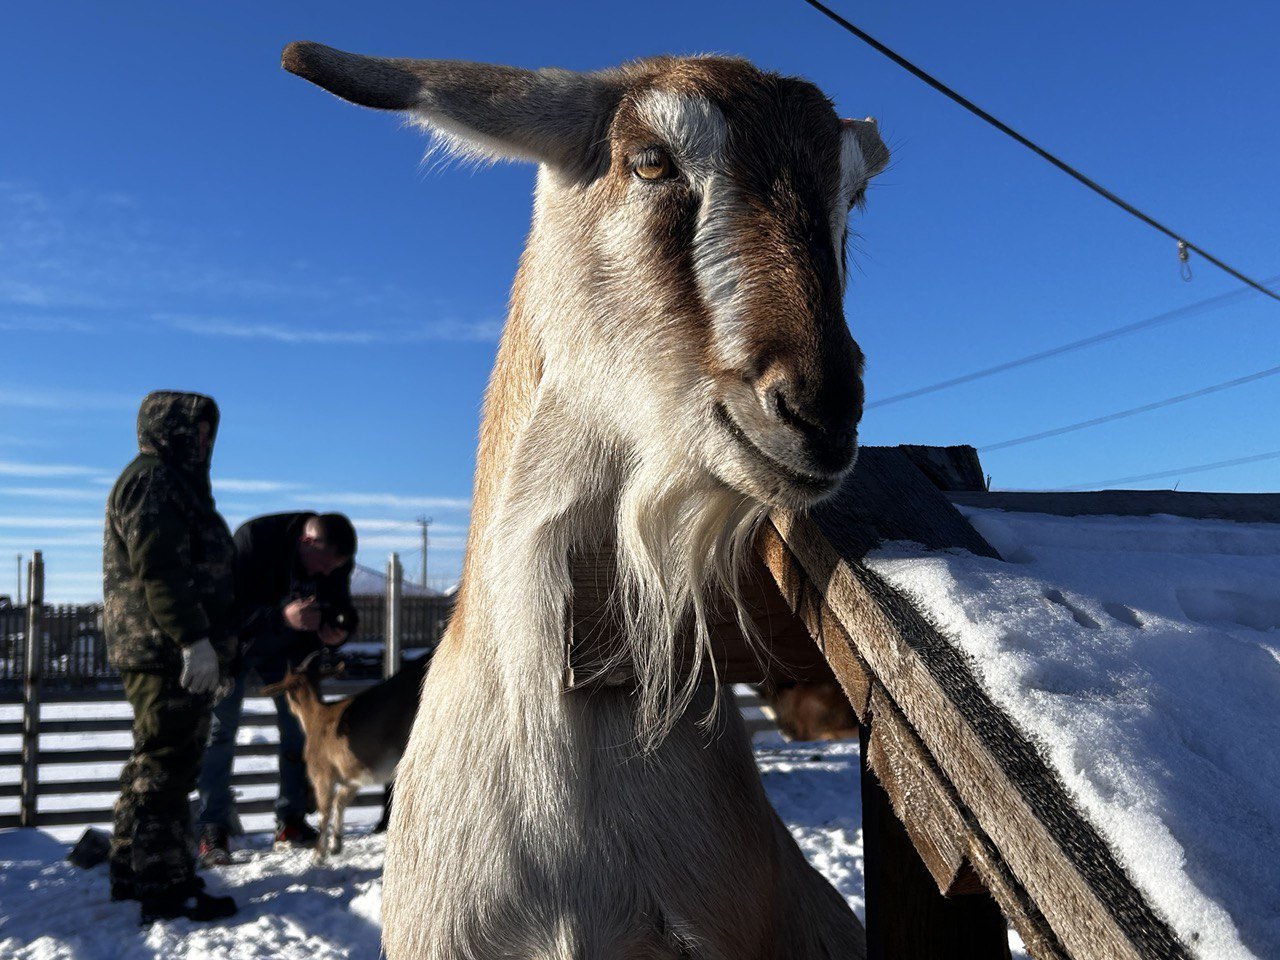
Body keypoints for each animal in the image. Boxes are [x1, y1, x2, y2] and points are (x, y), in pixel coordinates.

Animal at [263, 651, 429, 861]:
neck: (316, 717)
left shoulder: (322, 774)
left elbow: (325, 811)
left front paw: (319, 854)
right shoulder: (352, 777)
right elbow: (340, 802)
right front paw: (336, 846)